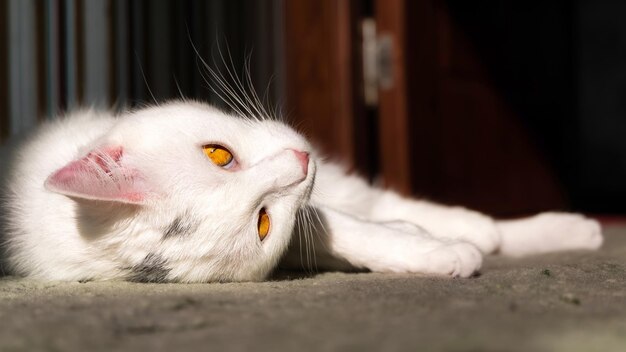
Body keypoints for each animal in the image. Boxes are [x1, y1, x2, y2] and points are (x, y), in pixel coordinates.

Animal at [0, 100, 600, 282]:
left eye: (218, 154)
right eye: (263, 221)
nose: (301, 162)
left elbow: (357, 219)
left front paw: (456, 236)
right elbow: (339, 232)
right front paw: (440, 252)